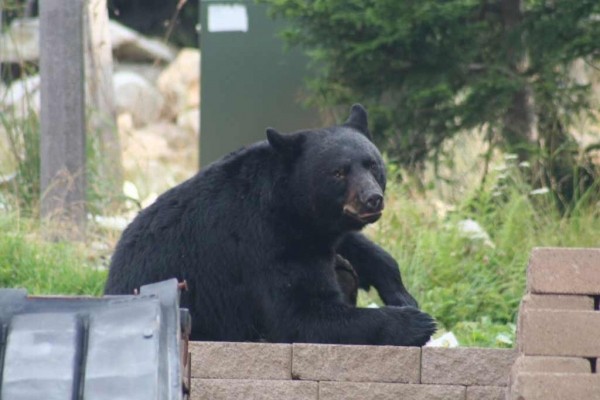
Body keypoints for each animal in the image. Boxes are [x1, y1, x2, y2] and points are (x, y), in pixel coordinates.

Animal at [106, 104, 436, 346]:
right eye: (339, 172)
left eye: (372, 164)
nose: (372, 199)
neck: (288, 204)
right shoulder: (263, 242)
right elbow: (301, 314)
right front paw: (417, 323)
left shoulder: (315, 228)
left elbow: (352, 245)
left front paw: (400, 292)